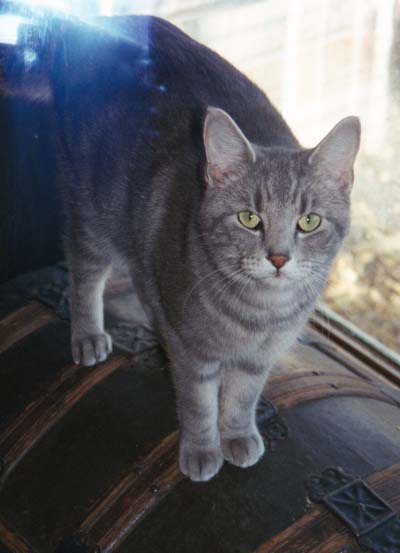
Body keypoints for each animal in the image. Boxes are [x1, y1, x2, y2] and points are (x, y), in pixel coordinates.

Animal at [0, 12, 360, 478]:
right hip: (91, 210)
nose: (279, 257)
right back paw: (89, 334)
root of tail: (85, 25)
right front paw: (203, 449)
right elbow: (198, 402)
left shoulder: (258, 359)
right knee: (83, 276)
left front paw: (238, 435)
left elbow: (242, 397)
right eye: (249, 218)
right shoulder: (192, 350)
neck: (258, 312)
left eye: (309, 221)